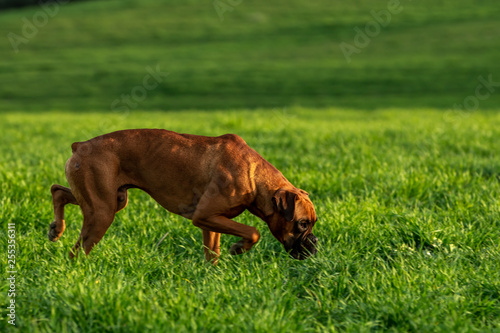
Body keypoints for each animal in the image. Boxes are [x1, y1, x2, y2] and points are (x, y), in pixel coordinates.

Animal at [48, 130, 318, 262]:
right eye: (302, 224)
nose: (315, 244)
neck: (253, 175)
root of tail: (81, 145)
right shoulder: (204, 216)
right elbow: (253, 232)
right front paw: (238, 249)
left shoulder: (212, 221)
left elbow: (212, 253)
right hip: (102, 213)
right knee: (76, 253)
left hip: (112, 201)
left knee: (57, 191)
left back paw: (56, 229)